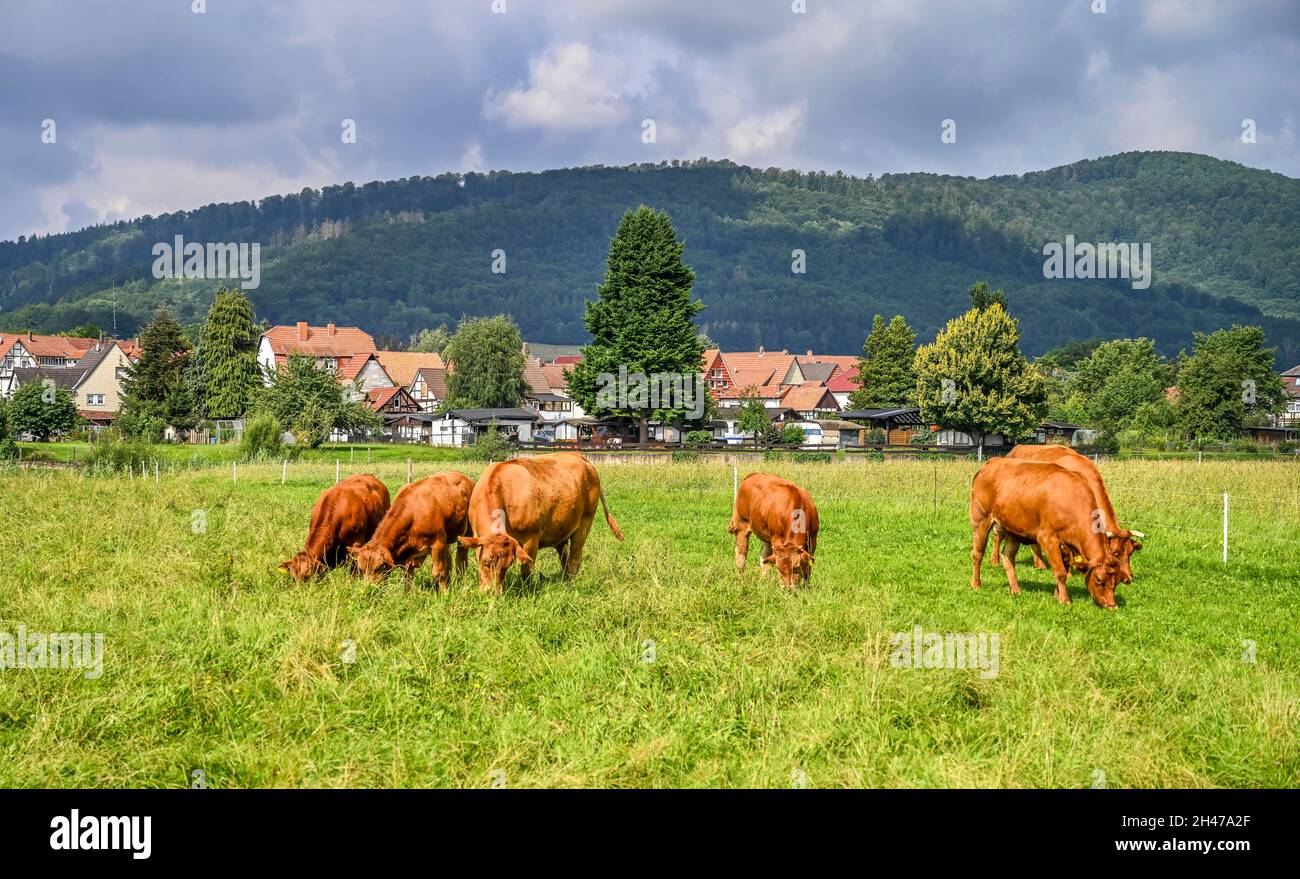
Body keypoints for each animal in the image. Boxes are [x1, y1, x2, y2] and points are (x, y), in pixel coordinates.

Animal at [454, 452, 621, 590]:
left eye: (507, 566)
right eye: (485, 562)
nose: (491, 592)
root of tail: (579, 456)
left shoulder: (531, 539)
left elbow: (526, 570)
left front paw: (527, 591)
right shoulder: (477, 535)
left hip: (585, 522)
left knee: (575, 558)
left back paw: (571, 583)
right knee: (565, 557)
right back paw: (565, 580)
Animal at [972, 457, 1123, 608]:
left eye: (1116, 581)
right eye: (1098, 579)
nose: (1112, 605)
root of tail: (992, 462)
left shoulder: (1066, 545)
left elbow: (1064, 569)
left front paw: (1057, 595)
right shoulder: (1048, 539)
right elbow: (1061, 572)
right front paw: (1065, 600)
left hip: (1012, 530)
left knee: (1008, 557)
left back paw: (1015, 590)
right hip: (981, 519)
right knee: (977, 554)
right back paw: (976, 584)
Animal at [993, 442, 1149, 579]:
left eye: (1130, 553)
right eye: (1115, 552)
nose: (1128, 577)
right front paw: (1068, 573)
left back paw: (1040, 564)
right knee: (997, 536)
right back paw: (994, 561)